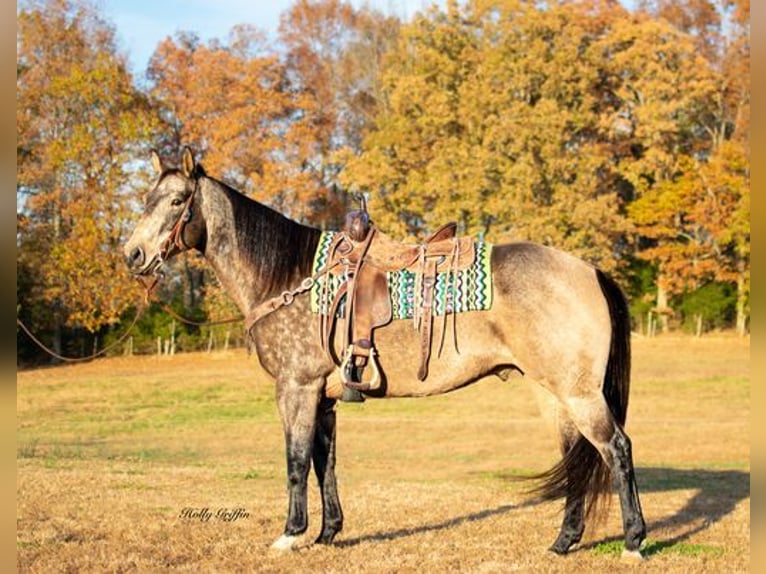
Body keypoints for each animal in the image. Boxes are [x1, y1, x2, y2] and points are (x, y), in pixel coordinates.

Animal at [121, 146, 648, 560]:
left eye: (176, 201)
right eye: (145, 200)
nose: (133, 255)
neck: (288, 277)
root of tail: (589, 270)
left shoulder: (296, 389)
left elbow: (295, 460)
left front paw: (291, 535)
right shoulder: (325, 397)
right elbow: (324, 462)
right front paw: (328, 533)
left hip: (577, 394)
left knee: (616, 448)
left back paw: (633, 542)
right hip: (555, 394)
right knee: (579, 456)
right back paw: (563, 541)